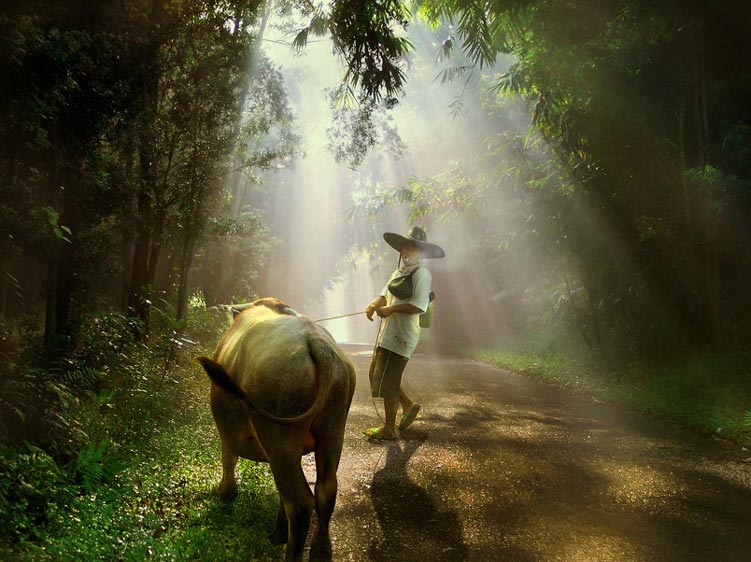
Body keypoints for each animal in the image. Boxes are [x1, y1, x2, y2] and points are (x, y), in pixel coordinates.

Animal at [197, 296, 356, 556]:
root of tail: (314, 342)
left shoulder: (227, 428)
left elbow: (228, 458)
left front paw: (225, 492)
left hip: (278, 438)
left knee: (300, 503)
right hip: (333, 431)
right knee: (325, 491)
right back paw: (320, 551)